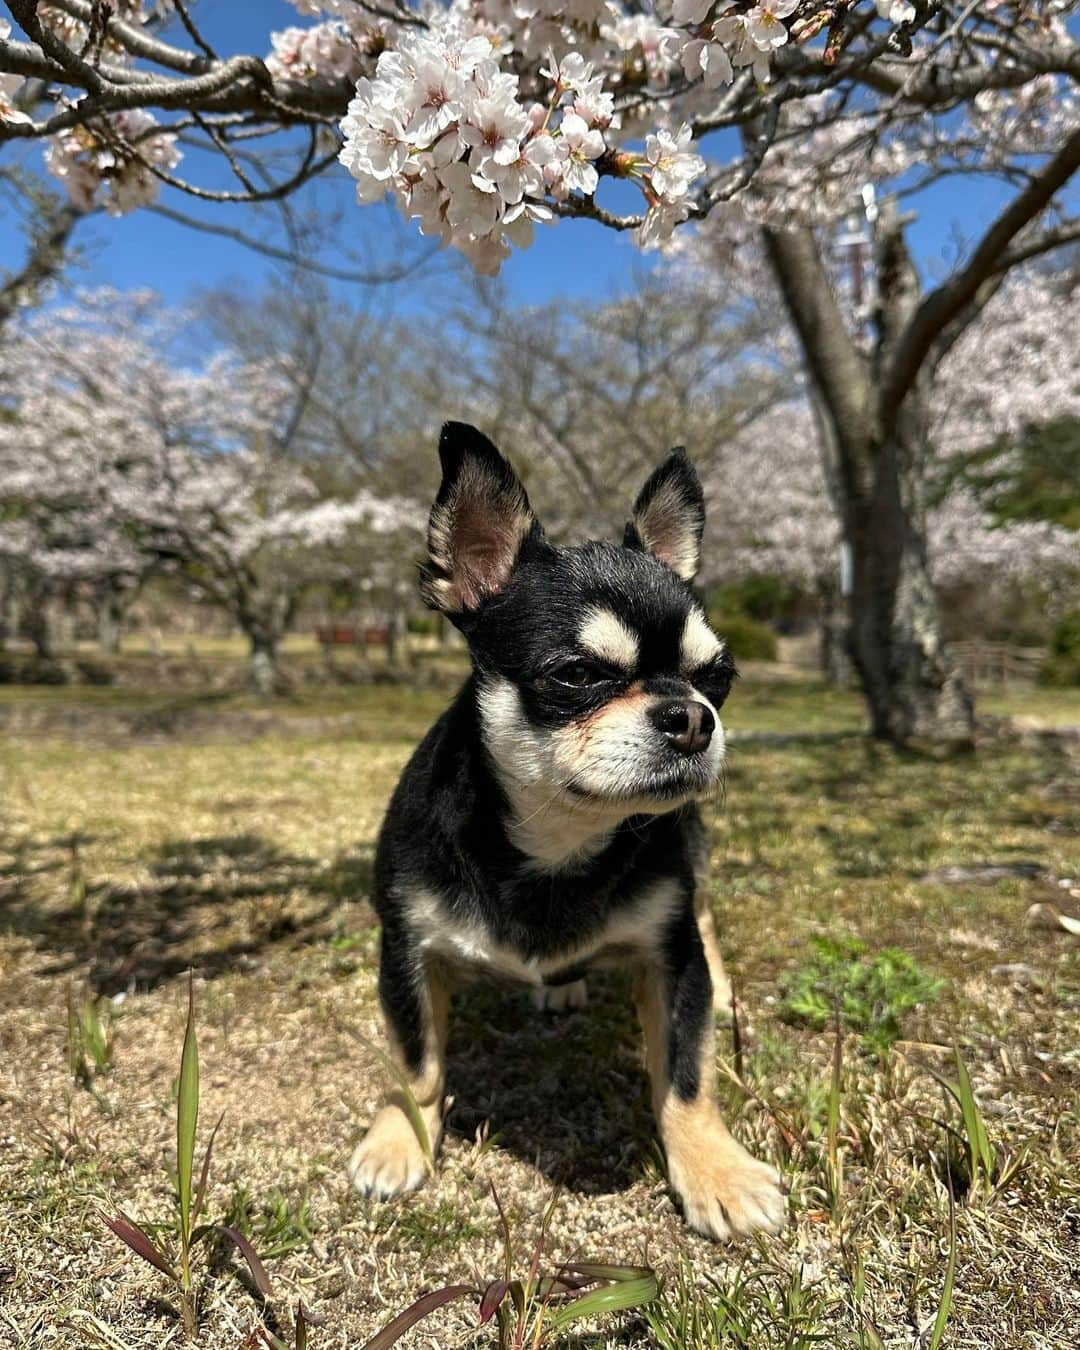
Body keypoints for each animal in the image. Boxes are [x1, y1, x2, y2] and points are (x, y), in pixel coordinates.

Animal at [351, 423, 788, 1242]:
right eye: (577, 675)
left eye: (718, 678)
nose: (694, 716)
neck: (558, 842)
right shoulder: (405, 952)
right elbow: (416, 1063)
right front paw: (401, 1139)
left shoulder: (671, 960)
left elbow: (687, 1077)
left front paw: (715, 1172)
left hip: (694, 858)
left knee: (707, 916)